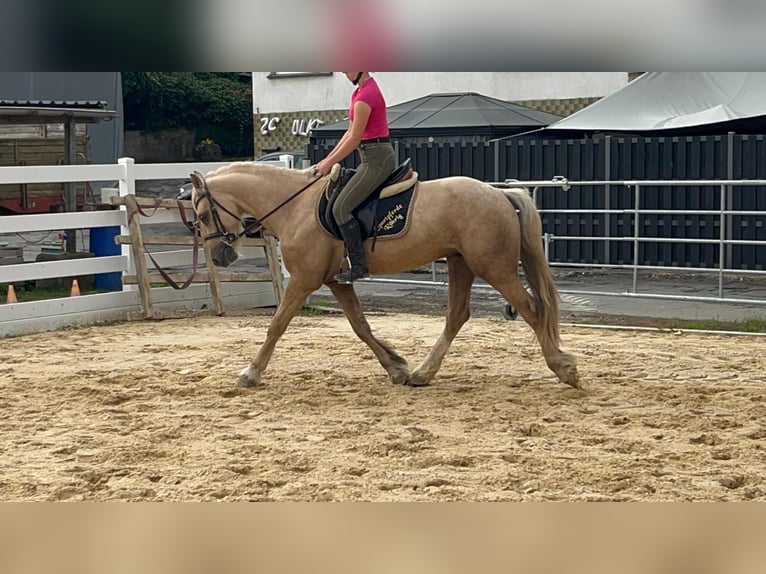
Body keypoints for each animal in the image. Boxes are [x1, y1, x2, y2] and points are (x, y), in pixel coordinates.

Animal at [189, 161, 580, 389]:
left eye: (203, 215)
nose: (221, 256)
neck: (294, 205)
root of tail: (500, 194)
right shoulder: (336, 280)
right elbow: (361, 327)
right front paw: (396, 367)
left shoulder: (303, 280)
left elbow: (276, 325)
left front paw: (251, 373)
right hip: (461, 263)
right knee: (457, 316)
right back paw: (422, 374)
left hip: (493, 267)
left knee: (533, 310)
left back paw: (563, 368)